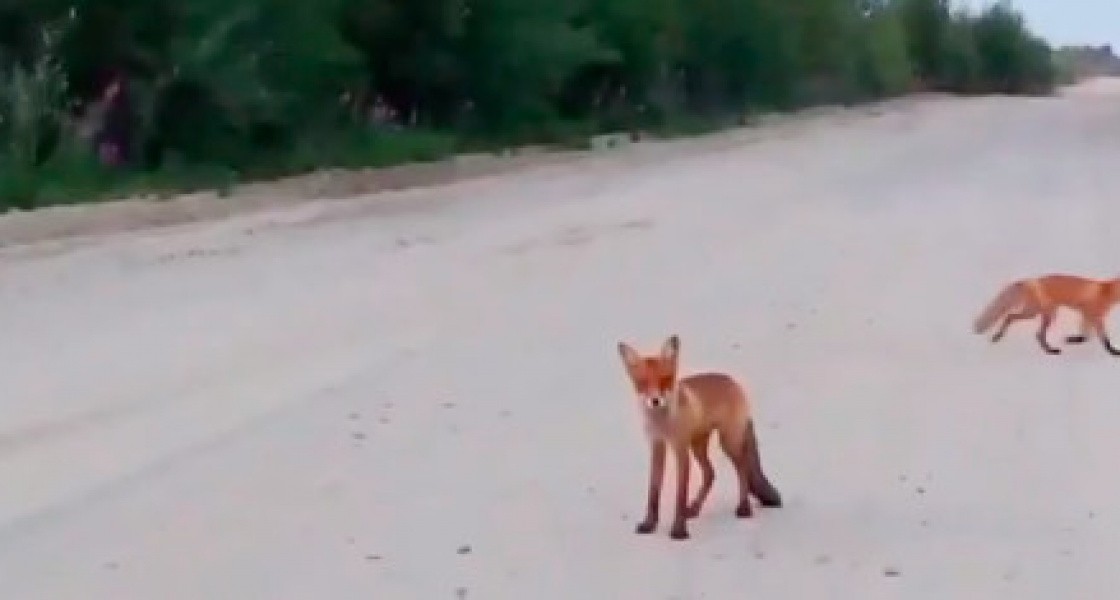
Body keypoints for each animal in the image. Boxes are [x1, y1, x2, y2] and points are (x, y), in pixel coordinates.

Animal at [616, 334, 782, 541]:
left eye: (665, 380)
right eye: (642, 382)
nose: (655, 401)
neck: (662, 423)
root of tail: (733, 382)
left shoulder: (680, 449)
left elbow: (680, 495)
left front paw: (679, 530)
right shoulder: (656, 446)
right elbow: (653, 492)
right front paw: (649, 524)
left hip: (728, 442)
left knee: (742, 468)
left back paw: (744, 508)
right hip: (698, 446)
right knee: (710, 474)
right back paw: (694, 508)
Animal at [973, 273, 1120, 356]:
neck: (1106, 291)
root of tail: (1031, 281)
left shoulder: (1087, 316)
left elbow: (1085, 336)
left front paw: (1073, 339)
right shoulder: (1095, 317)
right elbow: (1105, 339)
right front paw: (1114, 352)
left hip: (1046, 313)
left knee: (1037, 334)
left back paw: (1049, 350)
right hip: (1036, 313)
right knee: (1011, 317)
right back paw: (998, 336)